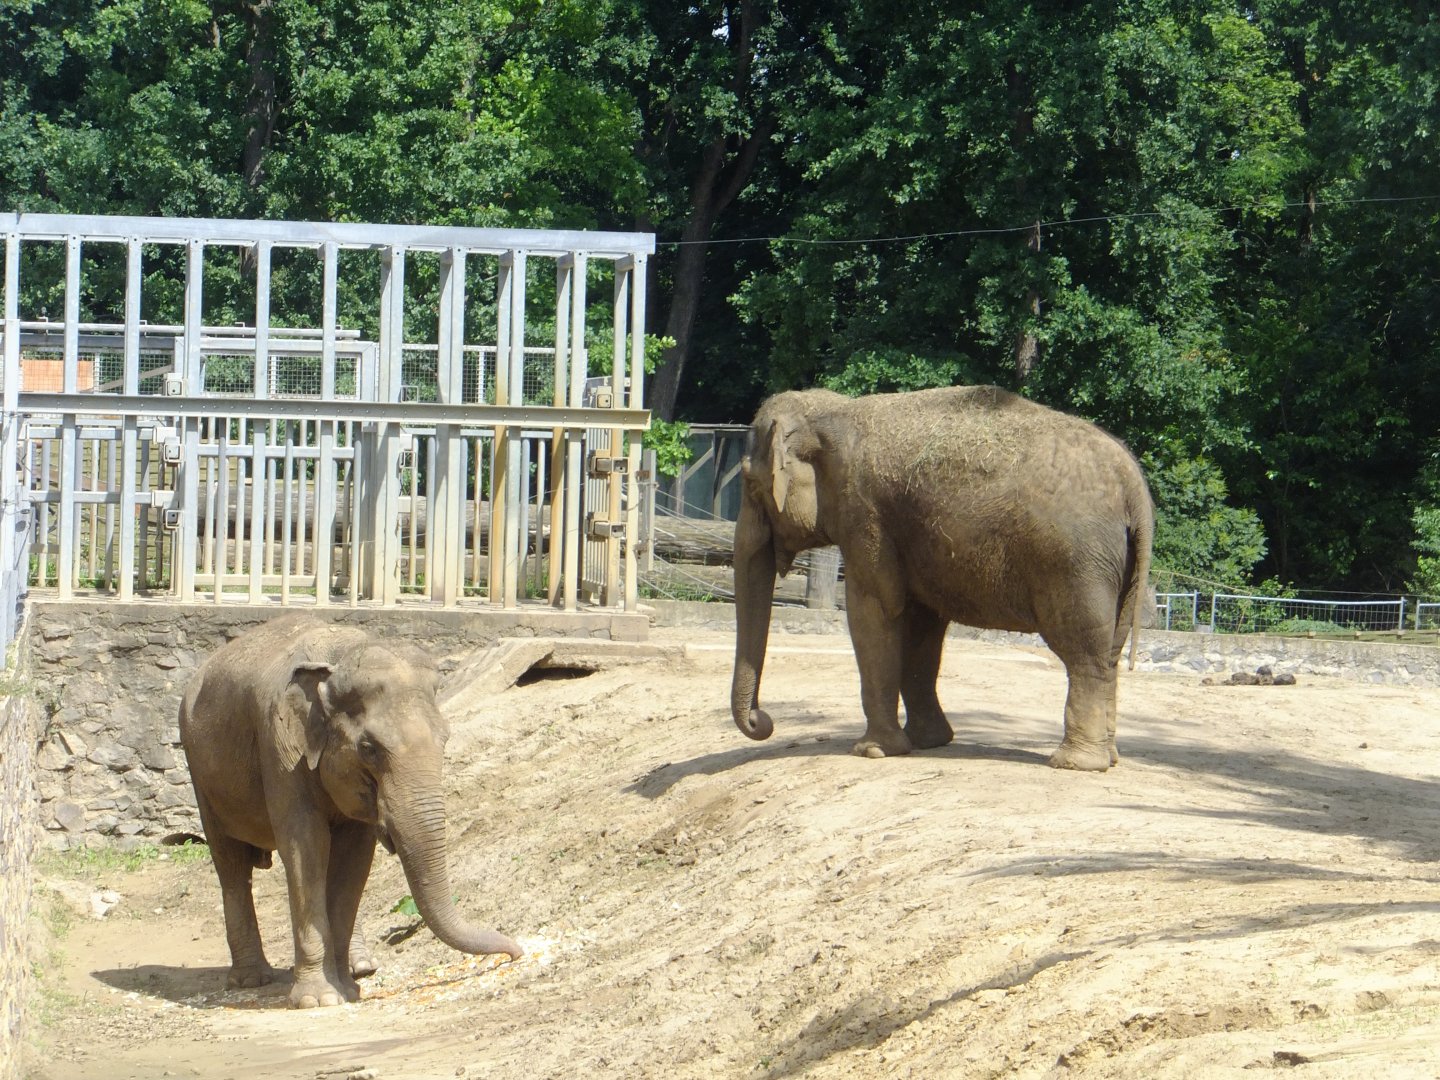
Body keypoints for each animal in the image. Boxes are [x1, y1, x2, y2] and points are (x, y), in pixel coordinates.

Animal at [179, 615, 521, 1008]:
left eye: (445, 739)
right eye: (369, 749)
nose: (515, 952)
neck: (339, 657)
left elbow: (354, 858)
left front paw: (348, 990)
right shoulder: (280, 749)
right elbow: (305, 849)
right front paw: (320, 1000)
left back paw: (361, 969)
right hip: (200, 774)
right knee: (231, 865)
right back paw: (252, 980)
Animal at [730, 385, 1154, 770]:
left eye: (750, 483)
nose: (761, 721)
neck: (833, 410)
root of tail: (1135, 488)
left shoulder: (866, 517)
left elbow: (873, 611)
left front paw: (873, 751)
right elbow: (921, 627)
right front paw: (928, 743)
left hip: (1077, 564)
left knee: (1084, 651)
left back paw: (1074, 763)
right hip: (1120, 568)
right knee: (1110, 652)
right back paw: (1108, 758)